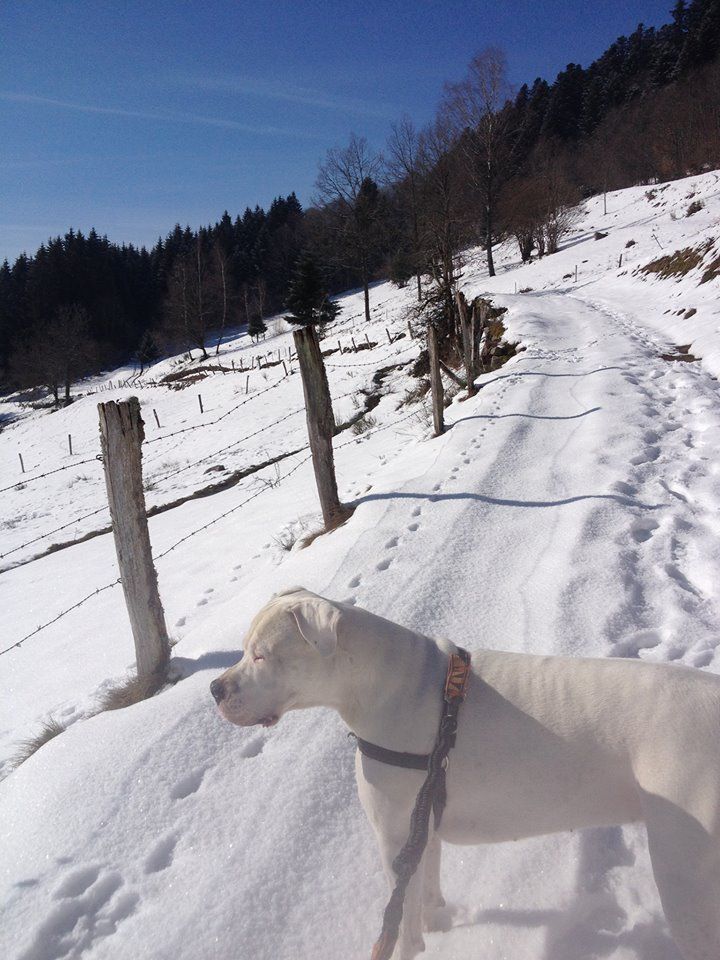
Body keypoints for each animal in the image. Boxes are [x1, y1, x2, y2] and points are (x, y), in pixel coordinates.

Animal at [210, 587, 720, 960]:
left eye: (260, 655)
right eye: (244, 650)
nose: (215, 687)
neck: (386, 685)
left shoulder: (394, 840)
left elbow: (402, 923)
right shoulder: (422, 827)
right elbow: (427, 892)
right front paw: (439, 925)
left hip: (686, 877)